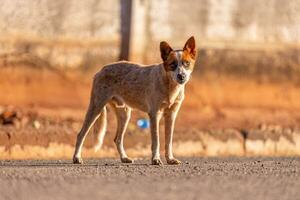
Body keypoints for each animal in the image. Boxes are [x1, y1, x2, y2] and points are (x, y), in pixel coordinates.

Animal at [73, 36, 197, 166]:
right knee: (80, 134)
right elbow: (156, 141)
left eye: (186, 63)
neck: (170, 86)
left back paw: (124, 158)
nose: (181, 76)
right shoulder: (154, 114)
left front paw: (170, 159)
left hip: (124, 114)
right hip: (96, 108)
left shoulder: (171, 115)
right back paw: (77, 158)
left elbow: (168, 141)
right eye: (172, 65)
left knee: (117, 139)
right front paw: (155, 159)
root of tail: (101, 70)